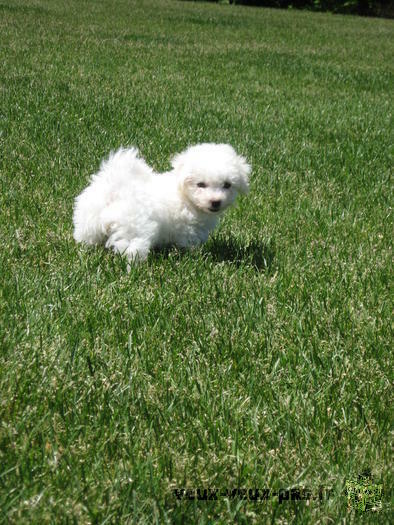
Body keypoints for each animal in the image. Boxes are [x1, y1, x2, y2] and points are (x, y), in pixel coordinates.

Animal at [73, 142, 249, 262]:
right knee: (130, 245)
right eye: (201, 184)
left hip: (89, 218)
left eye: (227, 185)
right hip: (134, 227)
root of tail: (114, 191)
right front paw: (195, 256)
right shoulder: (188, 230)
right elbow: (188, 244)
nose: (216, 202)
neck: (183, 195)